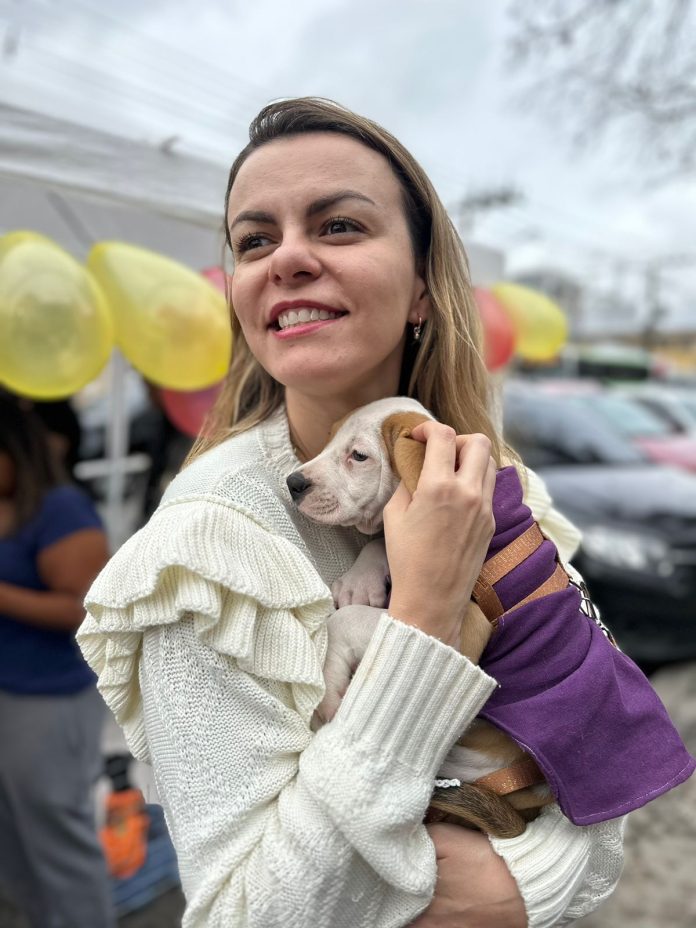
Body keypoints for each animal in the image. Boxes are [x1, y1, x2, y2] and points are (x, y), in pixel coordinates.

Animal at [286, 398, 552, 840]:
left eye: (359, 456)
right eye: (329, 440)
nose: (293, 482)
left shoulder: (467, 632)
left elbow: (349, 619)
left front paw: (331, 684)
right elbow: (383, 544)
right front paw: (361, 580)